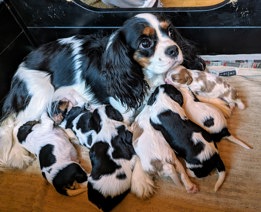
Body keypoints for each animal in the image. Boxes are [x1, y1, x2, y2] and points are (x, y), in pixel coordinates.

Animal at [0, 12, 205, 169]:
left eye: (170, 31)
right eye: (145, 43)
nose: (174, 49)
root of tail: (17, 75)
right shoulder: (124, 115)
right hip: (41, 92)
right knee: (16, 126)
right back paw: (18, 155)